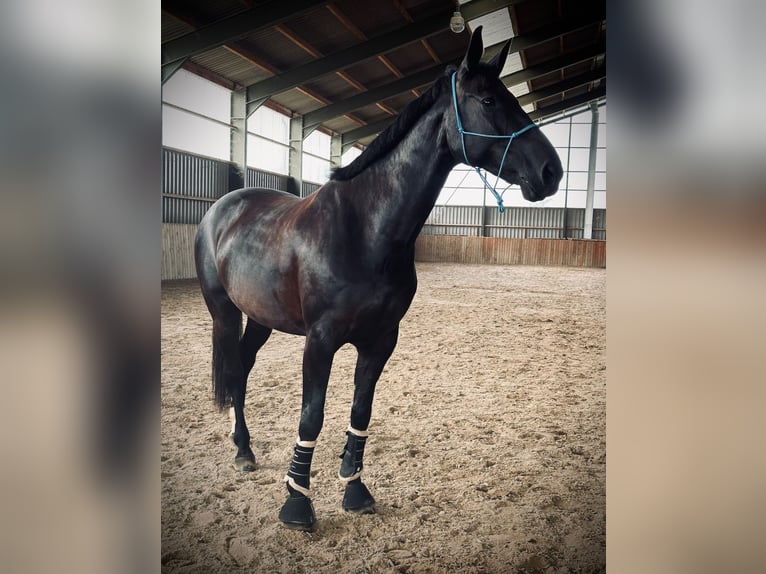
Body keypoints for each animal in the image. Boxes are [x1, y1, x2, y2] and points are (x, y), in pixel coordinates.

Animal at [195, 27, 560, 532]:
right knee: (233, 367)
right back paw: (242, 451)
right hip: (224, 312)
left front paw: (355, 488)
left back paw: (244, 449)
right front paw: (297, 504)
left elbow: (360, 411)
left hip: (261, 318)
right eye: (488, 100)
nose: (551, 171)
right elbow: (311, 416)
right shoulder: (321, 341)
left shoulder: (381, 340)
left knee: (242, 368)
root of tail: (223, 207)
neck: (364, 228)